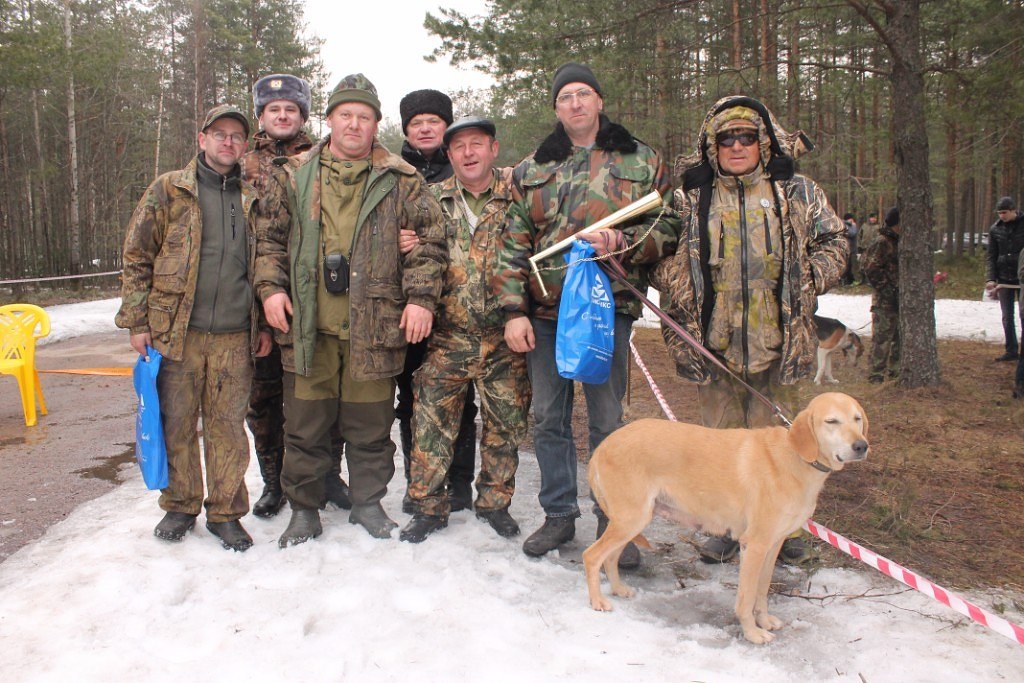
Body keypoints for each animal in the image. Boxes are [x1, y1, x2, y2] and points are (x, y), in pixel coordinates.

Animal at [583, 392, 869, 645]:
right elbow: (747, 597)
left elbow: (762, 591)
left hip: (633, 522)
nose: (861, 446)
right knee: (592, 556)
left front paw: (764, 621)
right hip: (631, 519)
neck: (796, 457)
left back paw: (618, 589)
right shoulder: (754, 546)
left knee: (610, 557)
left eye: (857, 418)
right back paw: (597, 601)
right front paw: (752, 633)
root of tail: (603, 446)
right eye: (831, 421)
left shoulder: (773, 546)